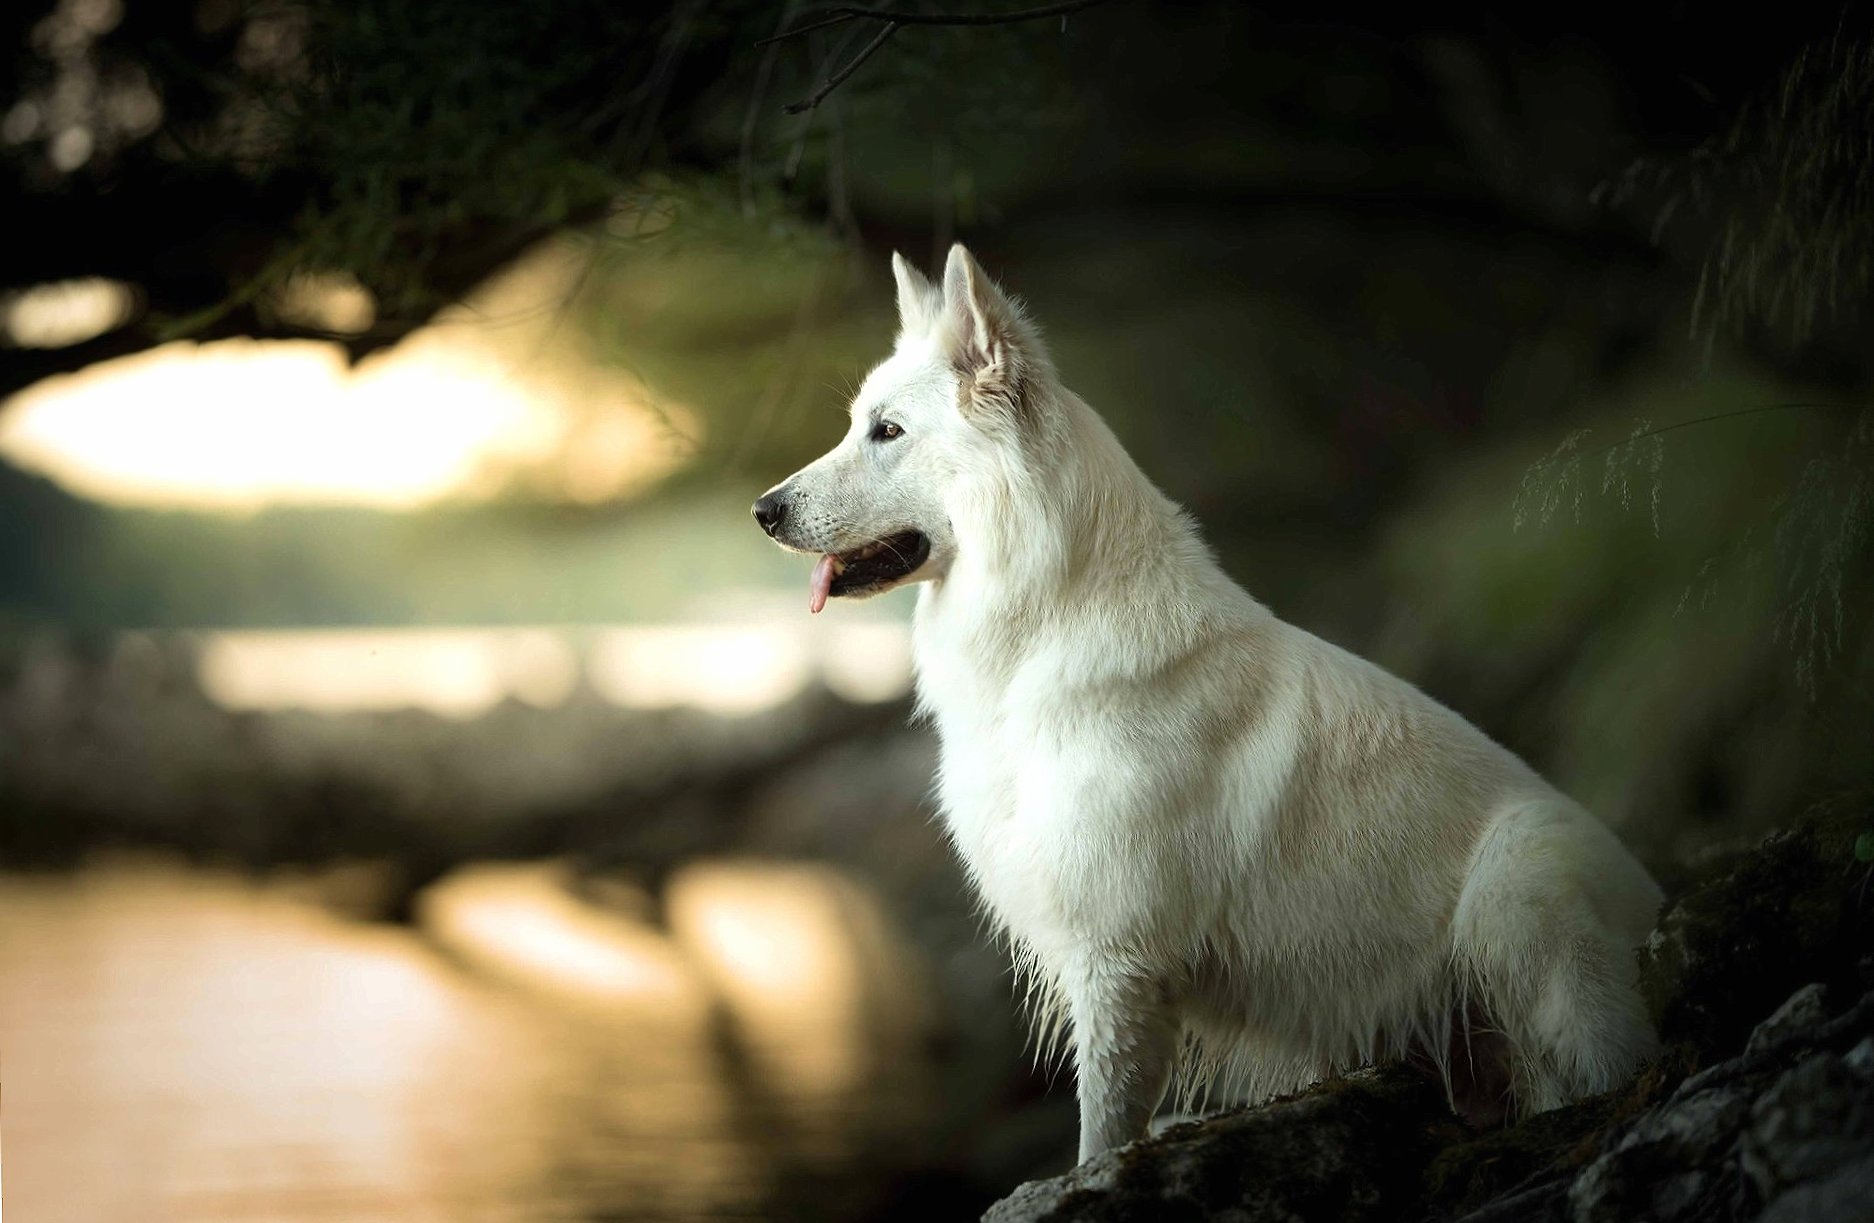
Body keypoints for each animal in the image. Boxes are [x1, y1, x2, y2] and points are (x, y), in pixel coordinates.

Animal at [753, 243, 1664, 1161]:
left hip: (1517, 883)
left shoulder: (1119, 965)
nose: (764, 510)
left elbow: (1103, 1131)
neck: (1049, 622)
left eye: (887, 432)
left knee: (1604, 1061)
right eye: (857, 424)